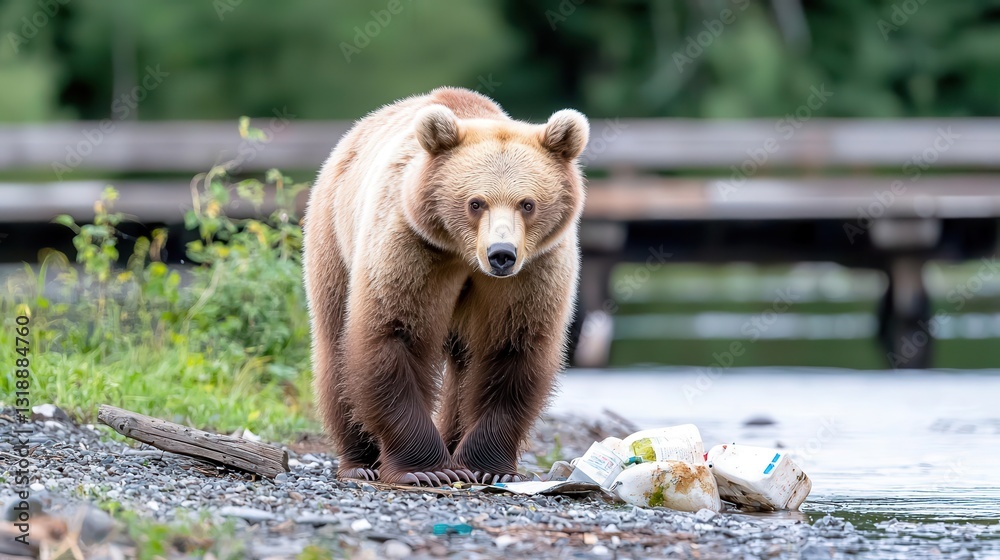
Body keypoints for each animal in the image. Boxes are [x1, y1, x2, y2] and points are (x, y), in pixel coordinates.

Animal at [302, 86, 589, 486]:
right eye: (476, 202)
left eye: (527, 203)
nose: (501, 254)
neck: (464, 256)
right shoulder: (413, 248)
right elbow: (396, 334)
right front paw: (425, 470)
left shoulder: (534, 270)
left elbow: (513, 348)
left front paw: (485, 467)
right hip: (333, 232)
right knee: (335, 346)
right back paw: (360, 461)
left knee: (463, 364)